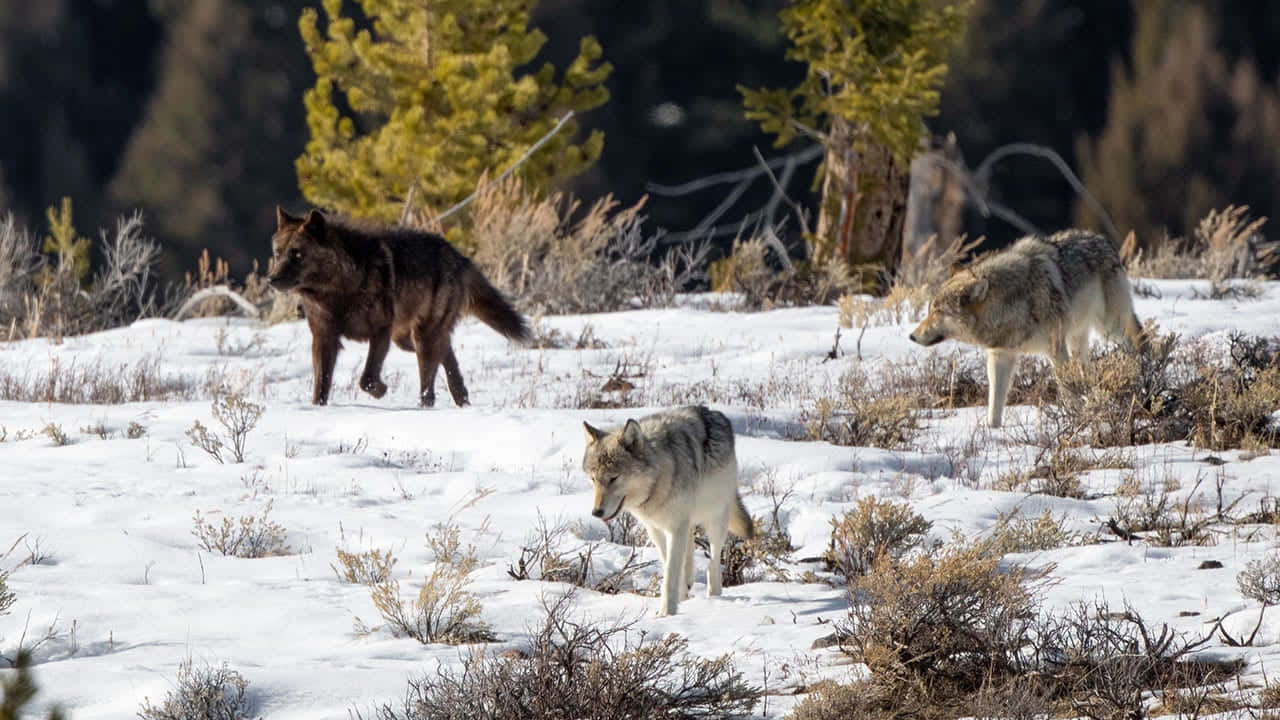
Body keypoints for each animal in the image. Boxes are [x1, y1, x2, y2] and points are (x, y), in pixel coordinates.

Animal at [267, 207, 527, 409]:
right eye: (278, 253)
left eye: (297, 254)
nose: (271, 279)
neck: (339, 289)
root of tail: (459, 257)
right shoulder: (324, 338)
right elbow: (321, 386)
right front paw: (317, 410)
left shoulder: (381, 332)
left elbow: (367, 378)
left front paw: (381, 390)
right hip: (407, 340)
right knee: (446, 353)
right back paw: (461, 399)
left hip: (420, 339)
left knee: (429, 387)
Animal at [586, 407, 752, 614]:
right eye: (593, 479)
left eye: (614, 478)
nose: (596, 512)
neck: (659, 478)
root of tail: (714, 412)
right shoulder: (655, 529)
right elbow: (670, 565)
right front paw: (679, 597)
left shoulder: (675, 527)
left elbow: (671, 572)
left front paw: (666, 612)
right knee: (689, 550)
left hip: (715, 519)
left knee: (713, 563)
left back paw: (714, 596)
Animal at [906, 228, 1146, 425]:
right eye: (929, 310)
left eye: (937, 312)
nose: (912, 336)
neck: (1009, 304)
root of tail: (1103, 240)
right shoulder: (1000, 355)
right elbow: (995, 404)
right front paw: (992, 432)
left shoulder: (1056, 350)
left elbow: (1068, 391)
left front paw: (1077, 419)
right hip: (1078, 341)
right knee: (1088, 372)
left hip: (1110, 328)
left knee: (1139, 345)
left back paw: (1144, 377)